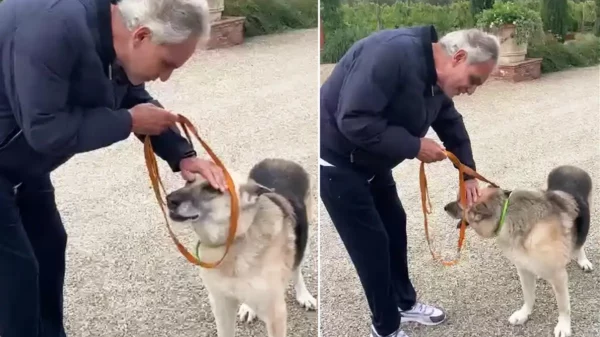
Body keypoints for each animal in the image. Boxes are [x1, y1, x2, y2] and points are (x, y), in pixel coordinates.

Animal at [162, 158, 316, 336]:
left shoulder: (275, 314)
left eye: (212, 188)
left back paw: (303, 295)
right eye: (188, 181)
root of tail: (279, 160)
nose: (169, 199)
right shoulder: (221, 304)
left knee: (296, 267)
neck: (235, 241)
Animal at [442, 165, 592, 336]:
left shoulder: (558, 276)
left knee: (580, 243)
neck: (505, 215)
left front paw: (564, 326)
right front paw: (524, 314)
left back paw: (583, 260)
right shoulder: (524, 270)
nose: (444, 207)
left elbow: (563, 306)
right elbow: (528, 295)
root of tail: (570, 167)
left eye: (459, 202)